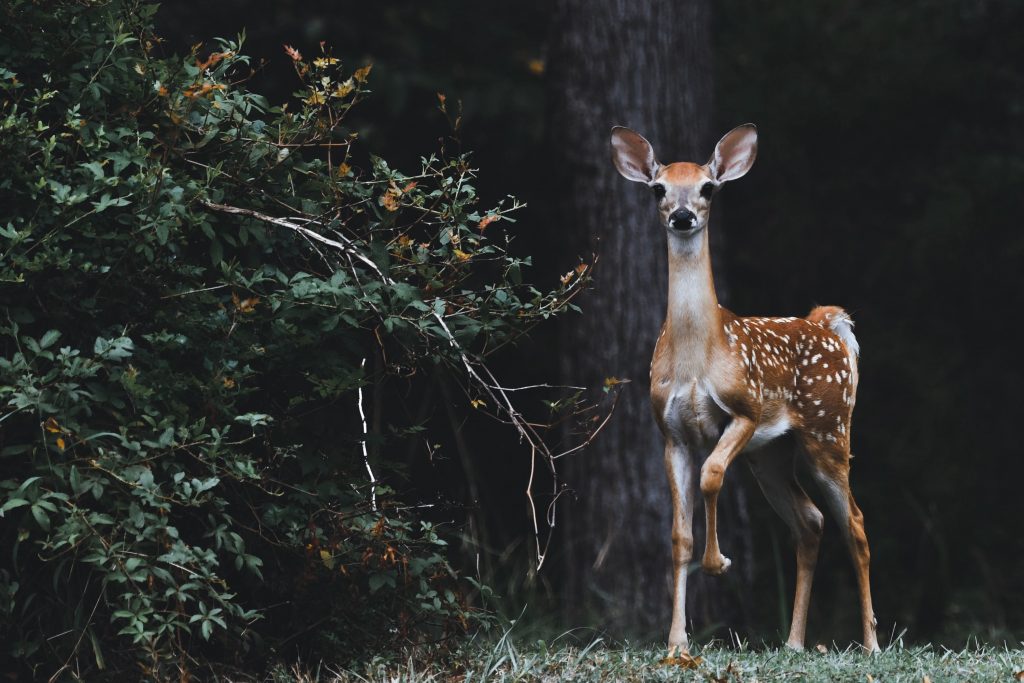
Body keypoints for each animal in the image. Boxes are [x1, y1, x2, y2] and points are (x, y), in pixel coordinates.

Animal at [606, 122, 880, 655]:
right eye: (658, 189)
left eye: (709, 187)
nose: (684, 216)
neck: (698, 357)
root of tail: (828, 324)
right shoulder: (670, 433)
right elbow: (679, 536)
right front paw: (677, 642)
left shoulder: (745, 410)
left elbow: (712, 475)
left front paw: (719, 563)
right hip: (771, 455)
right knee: (810, 521)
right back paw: (793, 643)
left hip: (829, 431)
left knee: (854, 523)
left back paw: (871, 643)